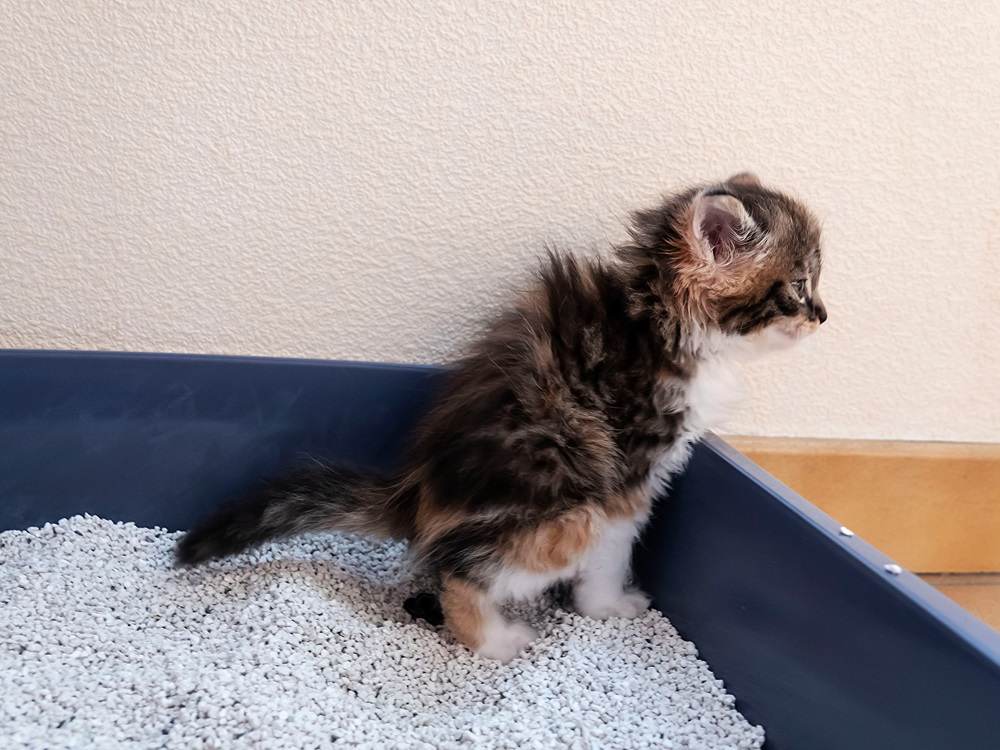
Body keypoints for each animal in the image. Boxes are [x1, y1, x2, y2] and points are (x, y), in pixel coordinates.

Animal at [178, 175, 828, 664]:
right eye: (799, 285)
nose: (823, 315)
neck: (662, 321)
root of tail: (415, 499)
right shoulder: (626, 482)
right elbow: (613, 552)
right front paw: (608, 607)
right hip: (564, 519)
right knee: (462, 574)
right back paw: (494, 641)